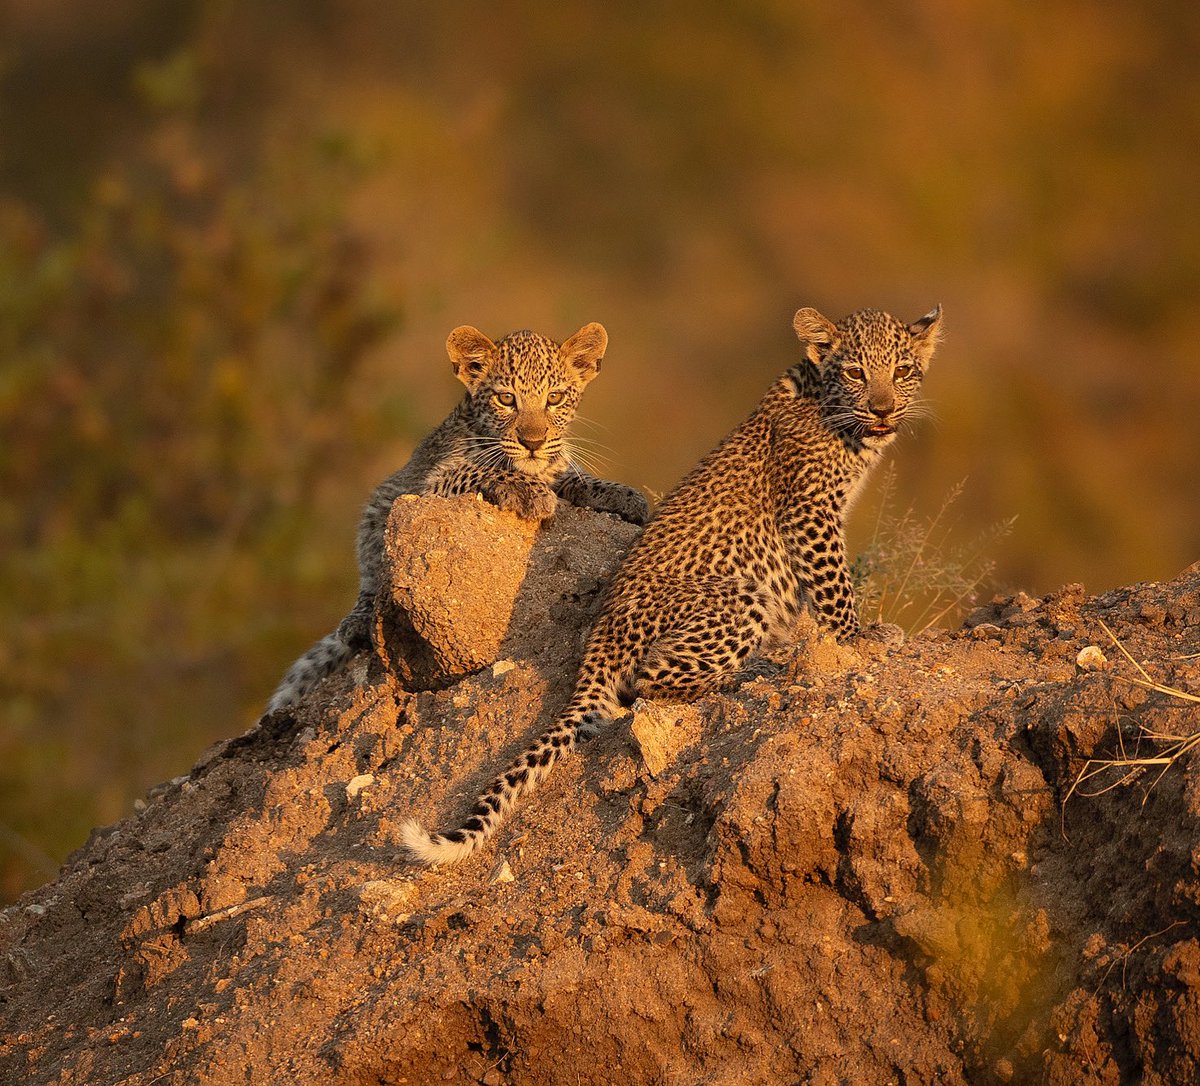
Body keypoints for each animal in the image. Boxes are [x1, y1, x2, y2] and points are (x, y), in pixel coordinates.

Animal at [265, 321, 649, 714]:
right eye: (506, 399)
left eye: (554, 399)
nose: (533, 442)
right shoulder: (430, 487)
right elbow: (481, 470)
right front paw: (530, 492)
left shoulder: (557, 465)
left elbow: (573, 475)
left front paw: (624, 496)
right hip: (380, 510)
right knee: (369, 581)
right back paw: (358, 624)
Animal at [400, 304, 942, 865]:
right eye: (855, 372)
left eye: (903, 371)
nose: (882, 409)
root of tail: (598, 646)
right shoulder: (809, 512)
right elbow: (834, 585)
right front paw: (858, 637)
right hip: (740, 598)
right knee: (647, 683)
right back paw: (754, 671)